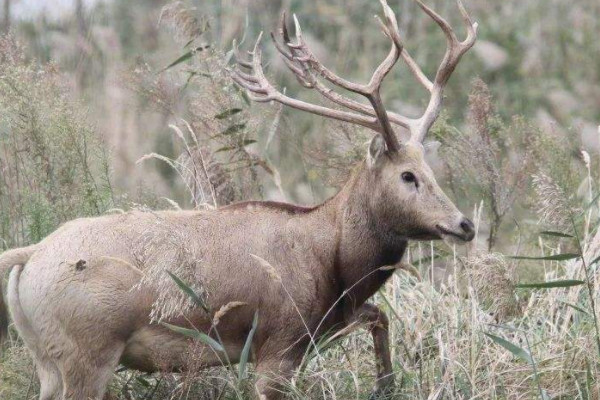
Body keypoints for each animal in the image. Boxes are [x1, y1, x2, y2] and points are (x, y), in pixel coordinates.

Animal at [0, 1, 478, 398]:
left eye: (431, 169)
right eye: (408, 176)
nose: (464, 224)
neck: (331, 261)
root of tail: (31, 254)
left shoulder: (327, 323)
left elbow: (379, 316)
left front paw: (386, 384)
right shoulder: (279, 340)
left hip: (49, 358)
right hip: (89, 349)